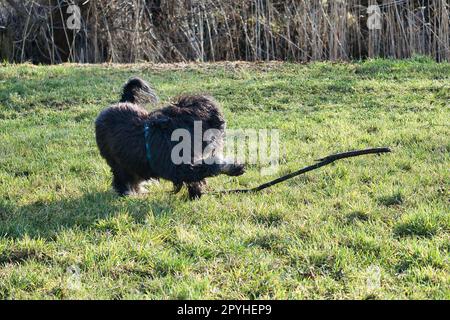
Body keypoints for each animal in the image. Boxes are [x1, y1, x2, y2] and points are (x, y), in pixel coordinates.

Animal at [93, 77, 244, 198]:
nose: (223, 123)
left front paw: (196, 193)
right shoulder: (179, 168)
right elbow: (210, 166)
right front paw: (234, 167)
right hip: (117, 162)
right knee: (122, 177)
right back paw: (128, 192)